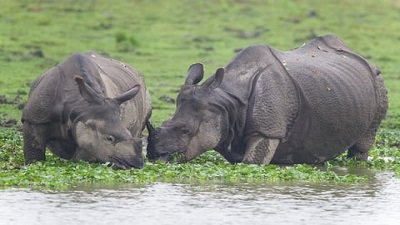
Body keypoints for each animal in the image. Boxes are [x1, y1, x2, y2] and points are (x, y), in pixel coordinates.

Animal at [147, 35, 388, 165]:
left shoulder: (268, 130)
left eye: (185, 130)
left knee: (363, 142)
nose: (154, 156)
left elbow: (251, 163)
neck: (227, 102)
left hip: (378, 82)